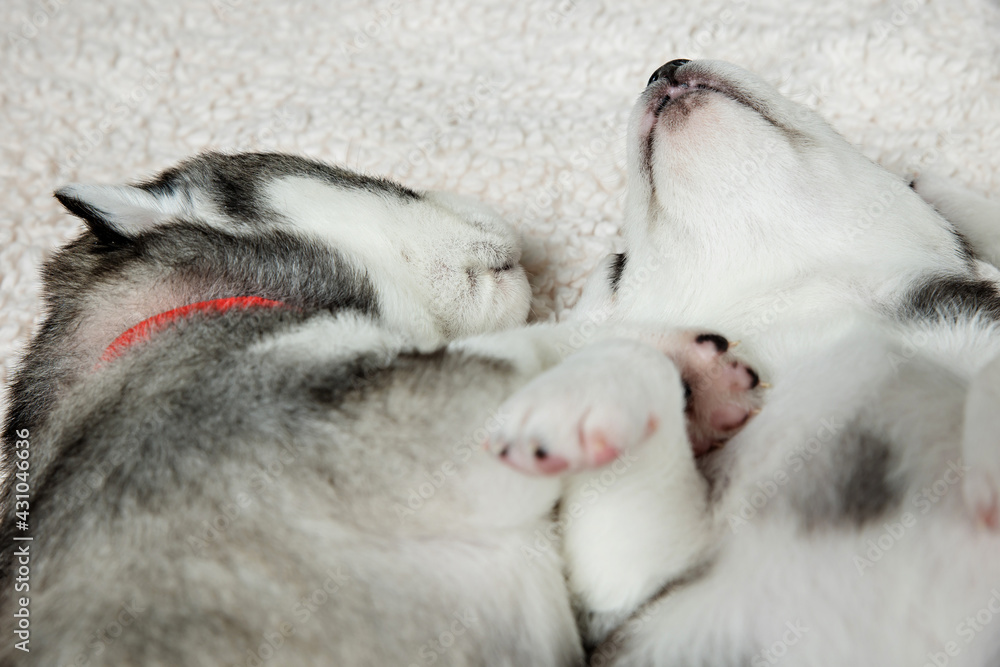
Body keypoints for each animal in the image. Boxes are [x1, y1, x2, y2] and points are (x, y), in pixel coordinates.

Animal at [496, 60, 1000, 664]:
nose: (664, 67)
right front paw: (604, 385)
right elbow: (629, 354)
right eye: (617, 265)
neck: (806, 301)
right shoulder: (633, 576)